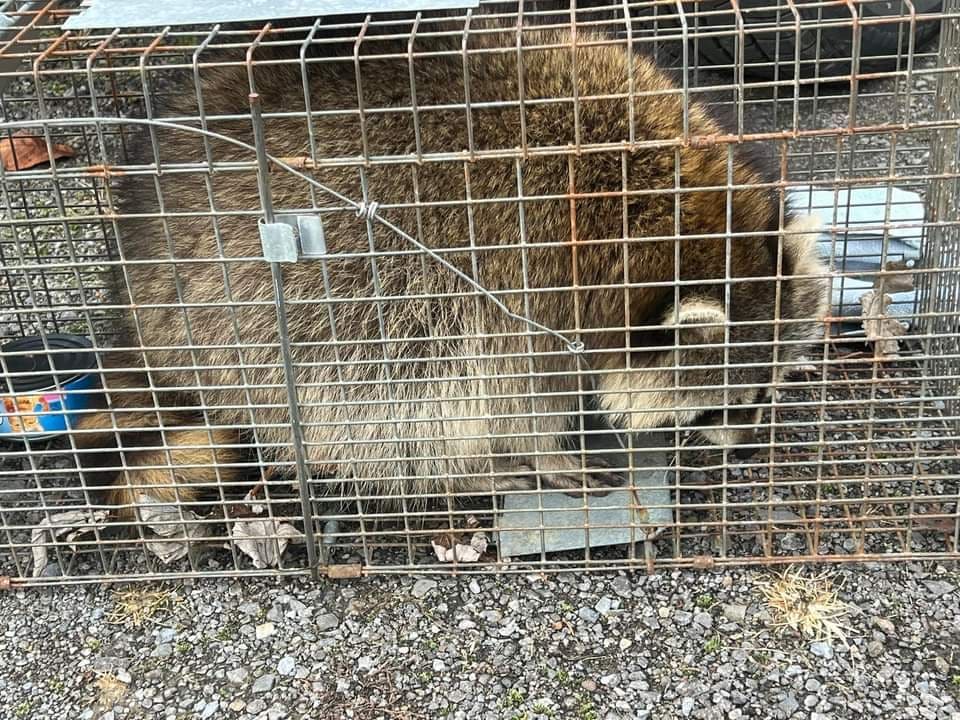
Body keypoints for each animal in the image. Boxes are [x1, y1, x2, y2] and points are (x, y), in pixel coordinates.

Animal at [74, 28, 829, 513]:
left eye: (768, 388)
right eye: (728, 401)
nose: (745, 447)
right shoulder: (524, 289)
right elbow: (513, 393)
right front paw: (540, 450)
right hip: (257, 323)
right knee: (381, 412)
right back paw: (468, 473)